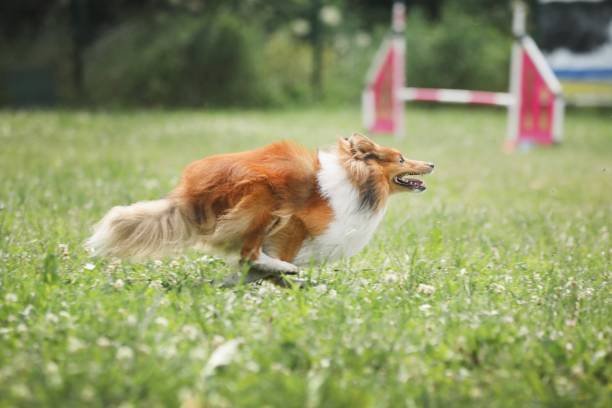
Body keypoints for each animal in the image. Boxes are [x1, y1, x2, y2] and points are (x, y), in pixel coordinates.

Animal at [87, 135, 436, 286]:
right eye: (401, 158)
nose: (432, 163)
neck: (359, 184)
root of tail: (187, 194)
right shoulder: (297, 223)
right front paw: (284, 272)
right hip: (266, 197)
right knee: (249, 252)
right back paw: (281, 267)